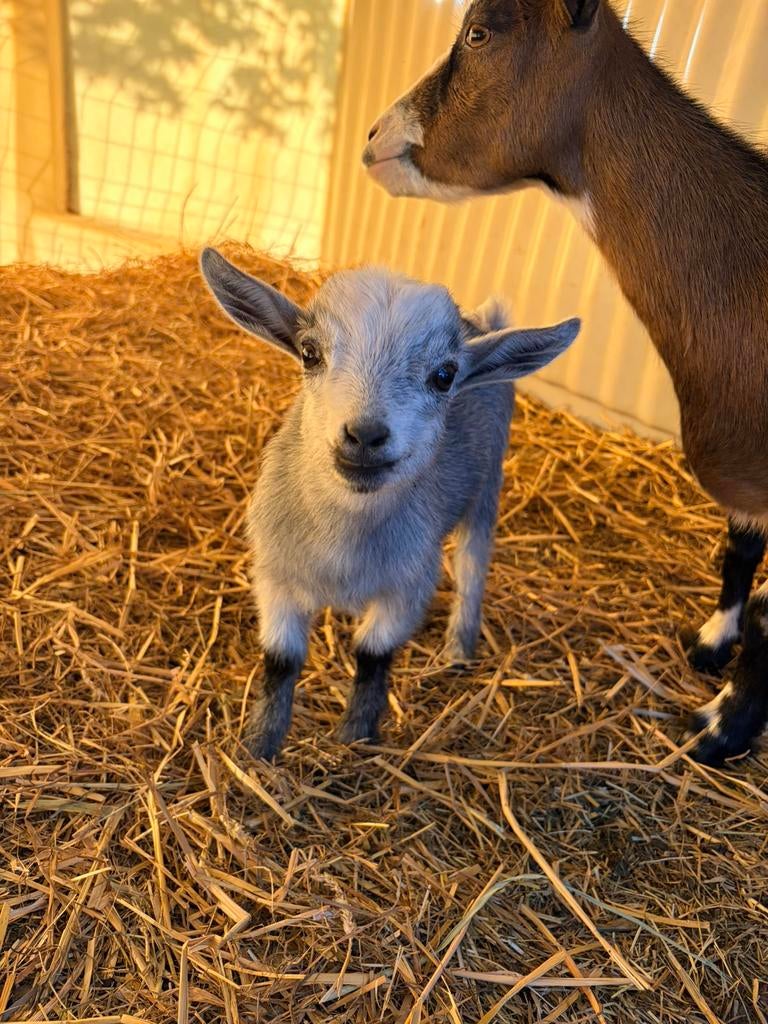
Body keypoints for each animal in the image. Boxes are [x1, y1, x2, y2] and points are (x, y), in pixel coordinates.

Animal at [200, 248, 579, 759]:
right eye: (309, 352)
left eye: (445, 375)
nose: (365, 435)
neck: (343, 544)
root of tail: (485, 325)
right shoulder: (275, 576)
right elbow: (281, 660)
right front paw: (259, 745)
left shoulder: (408, 586)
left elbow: (373, 653)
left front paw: (355, 738)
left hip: (486, 491)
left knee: (472, 567)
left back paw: (458, 651)